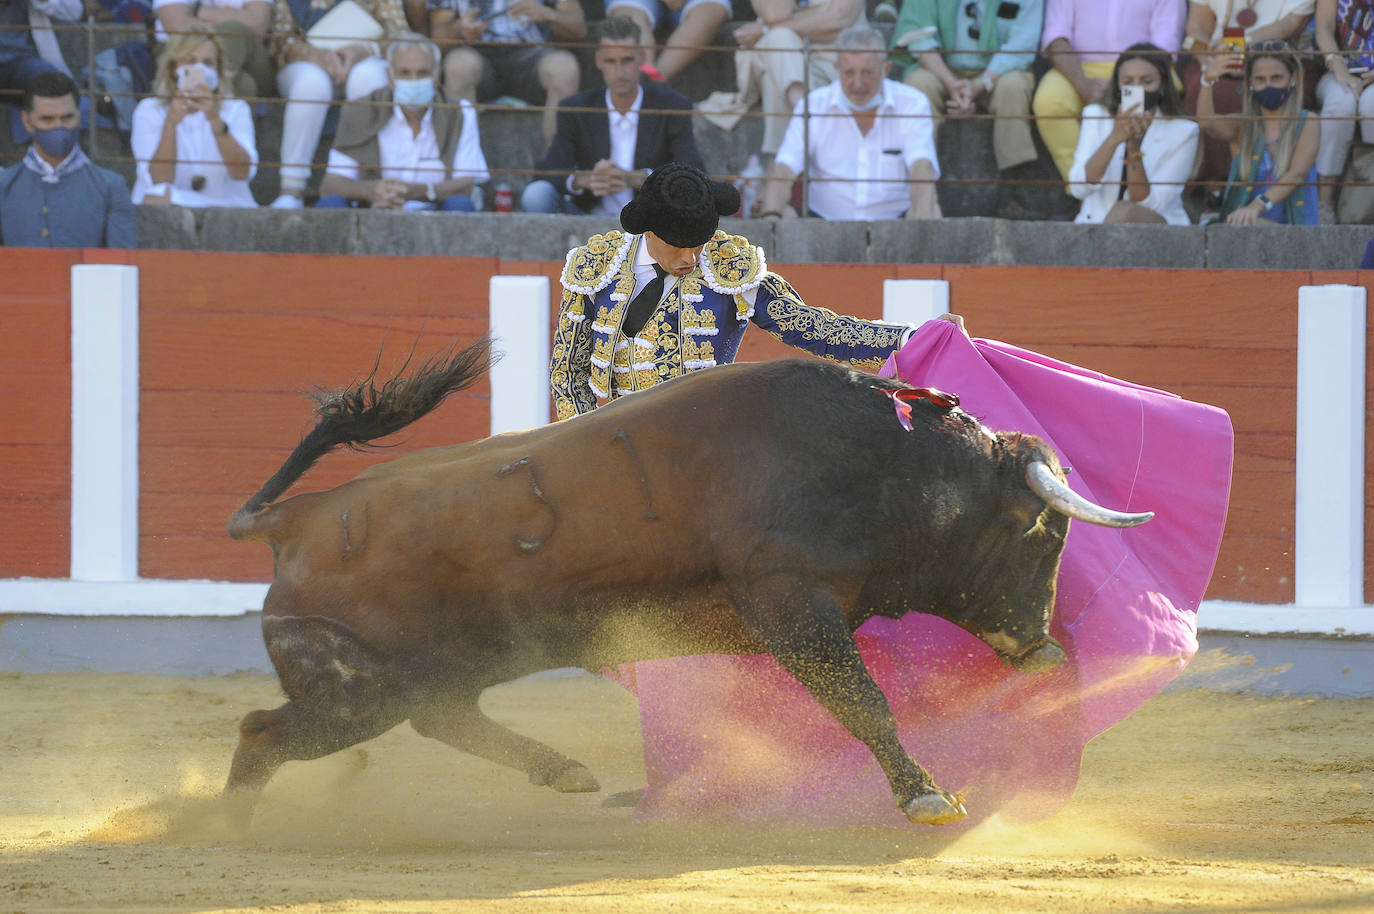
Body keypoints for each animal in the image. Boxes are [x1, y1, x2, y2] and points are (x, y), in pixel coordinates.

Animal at [222, 336, 1148, 824]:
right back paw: (226, 823)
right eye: (1042, 532)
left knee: (439, 716)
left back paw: (566, 772)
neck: (886, 462)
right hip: (357, 688)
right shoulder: (790, 603)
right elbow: (863, 702)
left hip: (442, 667)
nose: (1041, 648)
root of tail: (293, 521)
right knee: (266, 732)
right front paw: (926, 797)